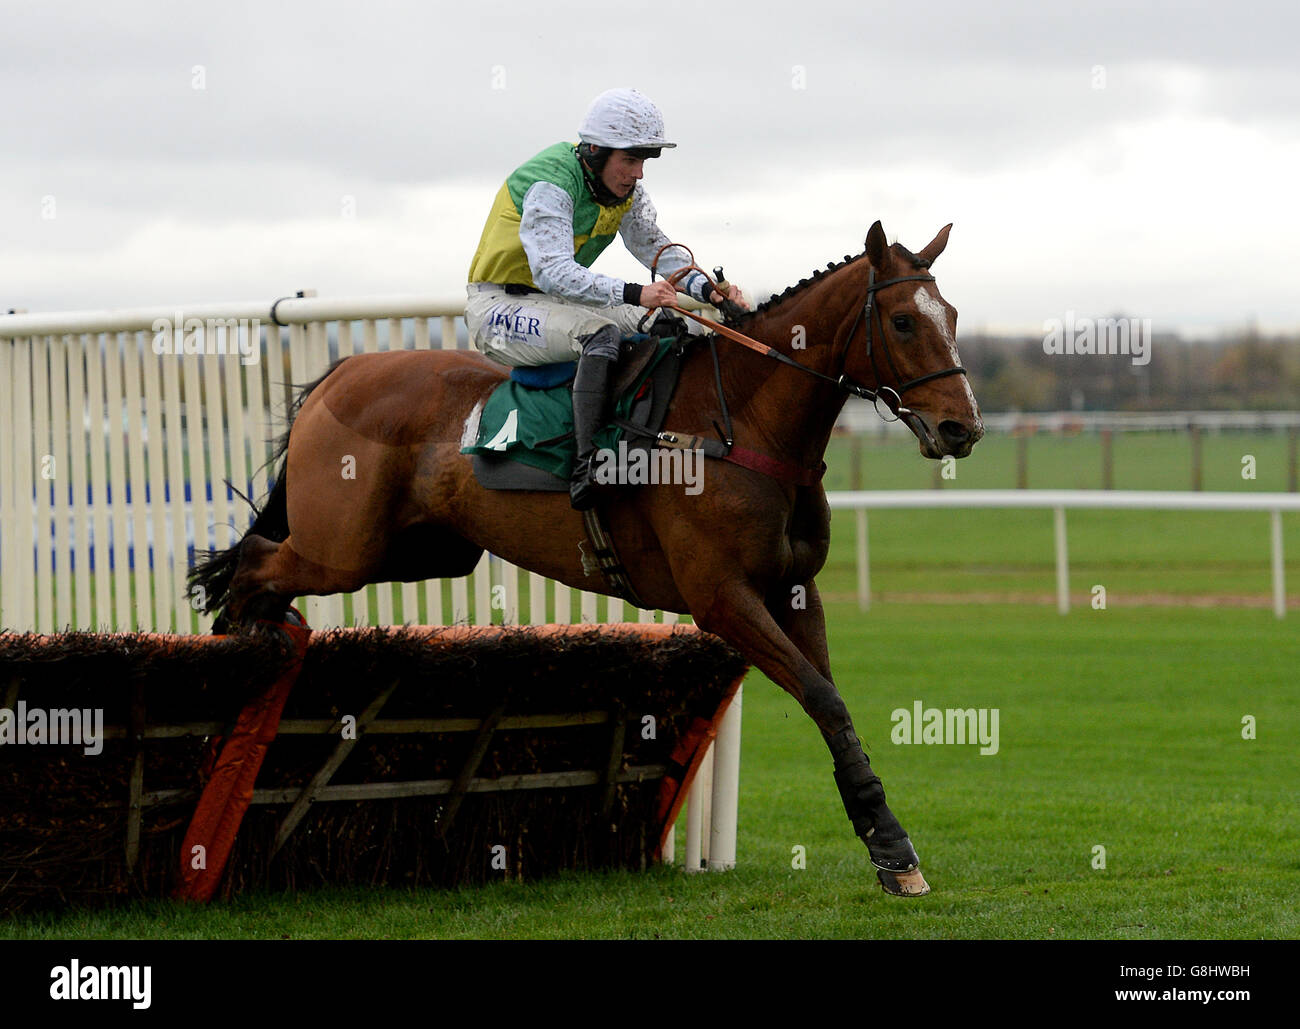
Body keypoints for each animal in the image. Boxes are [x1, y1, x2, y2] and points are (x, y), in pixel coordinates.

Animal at [188, 220, 982, 893]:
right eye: (904, 321)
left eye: (952, 316)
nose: (962, 428)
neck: (739, 422)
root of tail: (342, 372)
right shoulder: (722, 597)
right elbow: (821, 694)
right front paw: (890, 845)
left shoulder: (793, 589)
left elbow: (833, 704)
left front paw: (891, 849)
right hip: (343, 551)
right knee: (254, 564)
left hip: (420, 551)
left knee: (262, 566)